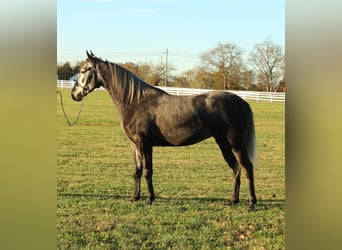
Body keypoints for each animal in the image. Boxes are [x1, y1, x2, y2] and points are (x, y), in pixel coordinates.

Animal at [73, 51, 260, 211]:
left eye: (84, 70)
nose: (74, 94)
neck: (135, 101)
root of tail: (242, 102)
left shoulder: (145, 144)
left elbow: (147, 171)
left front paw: (149, 199)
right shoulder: (134, 146)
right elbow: (137, 171)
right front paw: (135, 197)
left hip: (237, 145)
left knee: (247, 168)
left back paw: (251, 203)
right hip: (223, 144)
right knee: (235, 168)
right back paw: (233, 200)